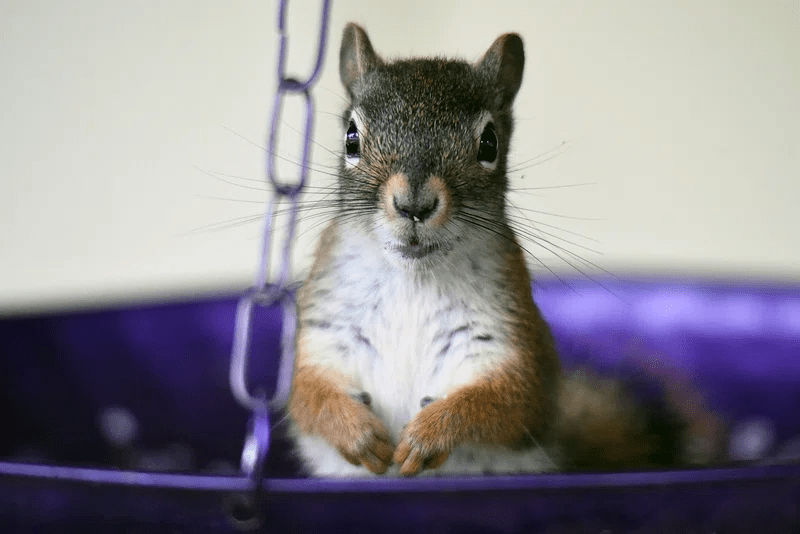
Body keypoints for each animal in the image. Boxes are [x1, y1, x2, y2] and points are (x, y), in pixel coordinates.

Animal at [287, 23, 724, 477]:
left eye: (488, 143)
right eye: (351, 137)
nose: (414, 205)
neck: (414, 277)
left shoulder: (509, 339)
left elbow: (505, 403)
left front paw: (429, 434)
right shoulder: (323, 333)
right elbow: (307, 396)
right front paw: (358, 433)